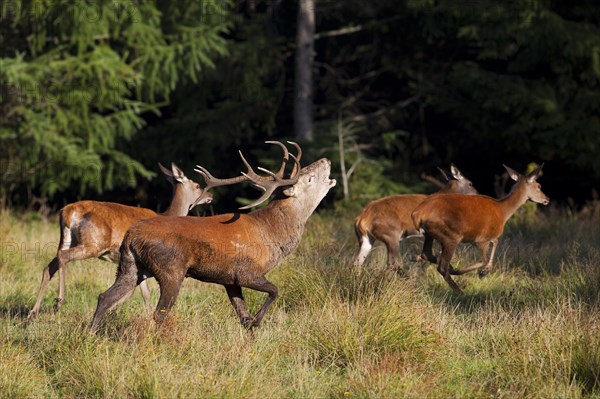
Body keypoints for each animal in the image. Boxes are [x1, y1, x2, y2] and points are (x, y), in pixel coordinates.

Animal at [28, 161, 216, 320]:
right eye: (197, 185)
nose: (210, 196)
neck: (167, 215)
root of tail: (68, 211)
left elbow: (141, 292)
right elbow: (140, 293)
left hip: (67, 240)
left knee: (49, 266)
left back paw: (33, 313)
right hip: (93, 244)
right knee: (64, 257)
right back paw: (58, 301)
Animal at [89, 142, 336, 332]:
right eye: (309, 178)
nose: (326, 159)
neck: (273, 235)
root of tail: (131, 236)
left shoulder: (230, 279)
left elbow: (243, 317)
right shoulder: (247, 272)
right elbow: (274, 291)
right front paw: (257, 322)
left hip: (131, 267)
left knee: (105, 297)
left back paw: (90, 335)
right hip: (171, 269)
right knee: (159, 312)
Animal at [412, 164, 548, 292]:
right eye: (539, 186)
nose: (547, 199)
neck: (502, 211)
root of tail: (418, 214)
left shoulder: (478, 237)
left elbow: (495, 242)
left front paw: (486, 270)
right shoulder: (483, 239)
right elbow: (484, 259)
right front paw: (480, 272)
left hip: (430, 234)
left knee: (426, 253)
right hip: (450, 236)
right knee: (441, 267)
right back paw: (459, 290)